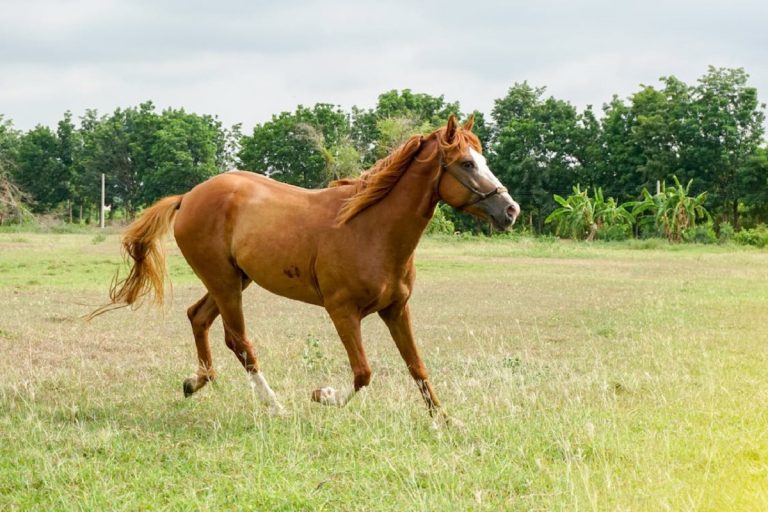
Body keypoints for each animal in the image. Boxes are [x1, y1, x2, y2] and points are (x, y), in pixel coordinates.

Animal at [91, 115, 520, 419]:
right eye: (466, 164)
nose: (510, 210)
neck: (371, 228)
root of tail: (189, 196)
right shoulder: (342, 311)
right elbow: (363, 372)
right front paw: (322, 395)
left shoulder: (396, 310)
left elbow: (417, 366)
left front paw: (444, 421)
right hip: (224, 282)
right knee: (239, 341)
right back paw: (274, 405)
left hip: (233, 281)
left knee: (199, 318)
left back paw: (196, 382)